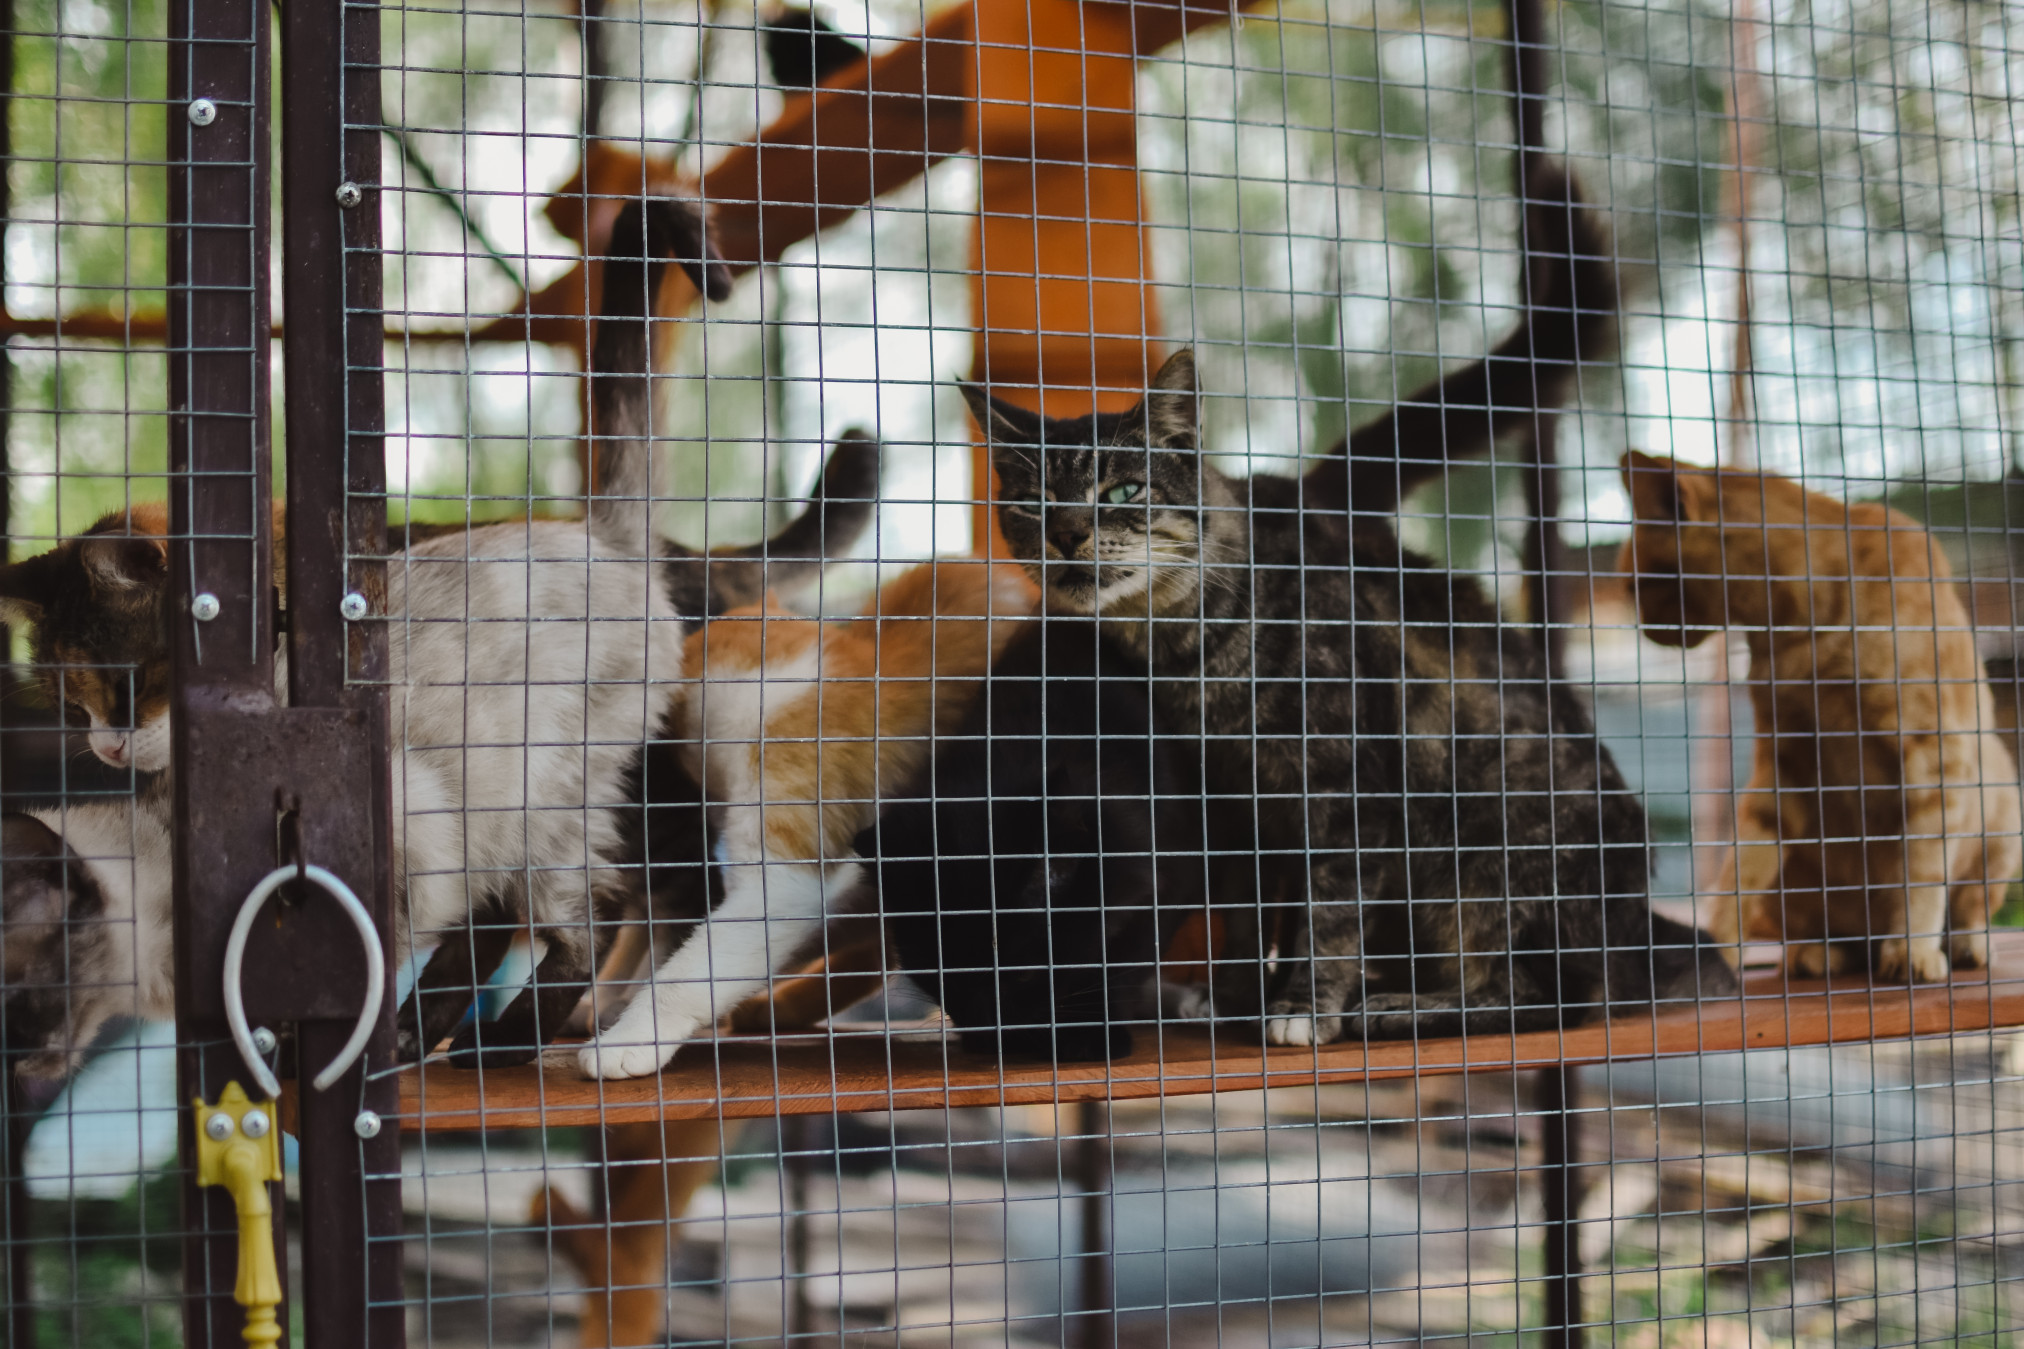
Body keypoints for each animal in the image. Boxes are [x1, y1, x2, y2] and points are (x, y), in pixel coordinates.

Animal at [955, 168, 1732, 1051]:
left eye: (1121, 492)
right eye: (1031, 502)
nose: (1066, 534)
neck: (1185, 652)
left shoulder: (1345, 790)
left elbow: (1328, 911)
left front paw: (1304, 1006)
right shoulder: (1242, 808)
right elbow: (1259, 911)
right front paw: (1241, 998)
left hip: (1489, 856)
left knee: (1545, 995)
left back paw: (1400, 1003)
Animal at [1611, 453, 2023, 982]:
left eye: (1635, 585)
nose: (1645, 630)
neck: (1798, 630)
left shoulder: (1933, 758)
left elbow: (1922, 871)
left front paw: (1912, 950)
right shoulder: (1782, 770)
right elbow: (1739, 876)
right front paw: (1716, 954)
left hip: (2002, 813)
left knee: (1969, 907)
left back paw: (1964, 946)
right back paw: (1818, 954)